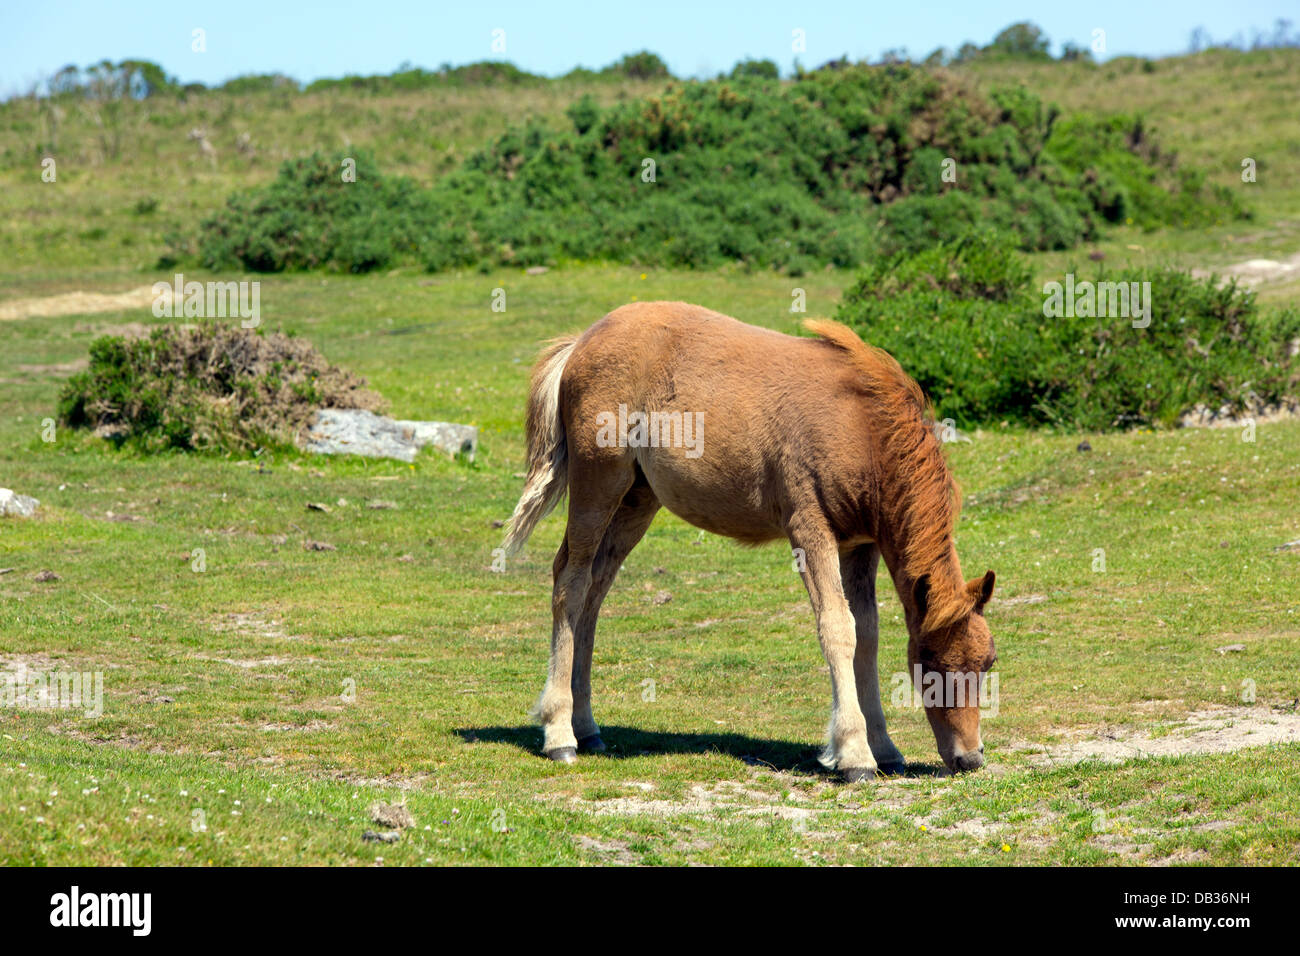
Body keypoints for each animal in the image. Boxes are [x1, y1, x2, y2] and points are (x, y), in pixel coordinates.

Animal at [503, 301, 997, 780]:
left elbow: (868, 634)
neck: (861, 428)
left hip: (636, 500)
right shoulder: (809, 529)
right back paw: (560, 735)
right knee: (571, 581)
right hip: (598, 480)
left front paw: (886, 749)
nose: (970, 758)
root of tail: (581, 342)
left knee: (595, 589)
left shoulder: (861, 545)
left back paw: (587, 729)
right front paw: (855, 755)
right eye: (931, 665)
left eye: (987, 663)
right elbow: (838, 628)